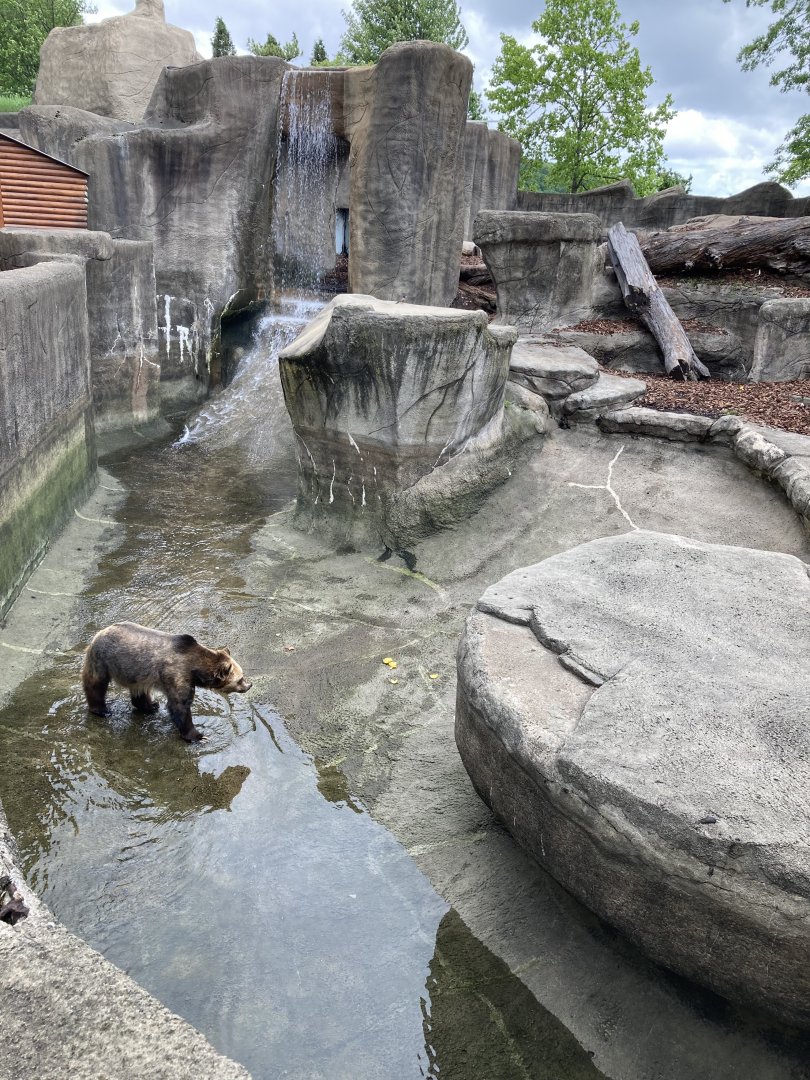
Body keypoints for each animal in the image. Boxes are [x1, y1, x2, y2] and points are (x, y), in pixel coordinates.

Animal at [82, 622, 252, 741]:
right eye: (240, 678)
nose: (249, 686)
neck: (195, 669)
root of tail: (99, 633)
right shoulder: (177, 675)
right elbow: (179, 705)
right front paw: (198, 736)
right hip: (103, 660)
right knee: (96, 684)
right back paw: (101, 710)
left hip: (137, 673)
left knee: (139, 690)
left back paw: (150, 706)